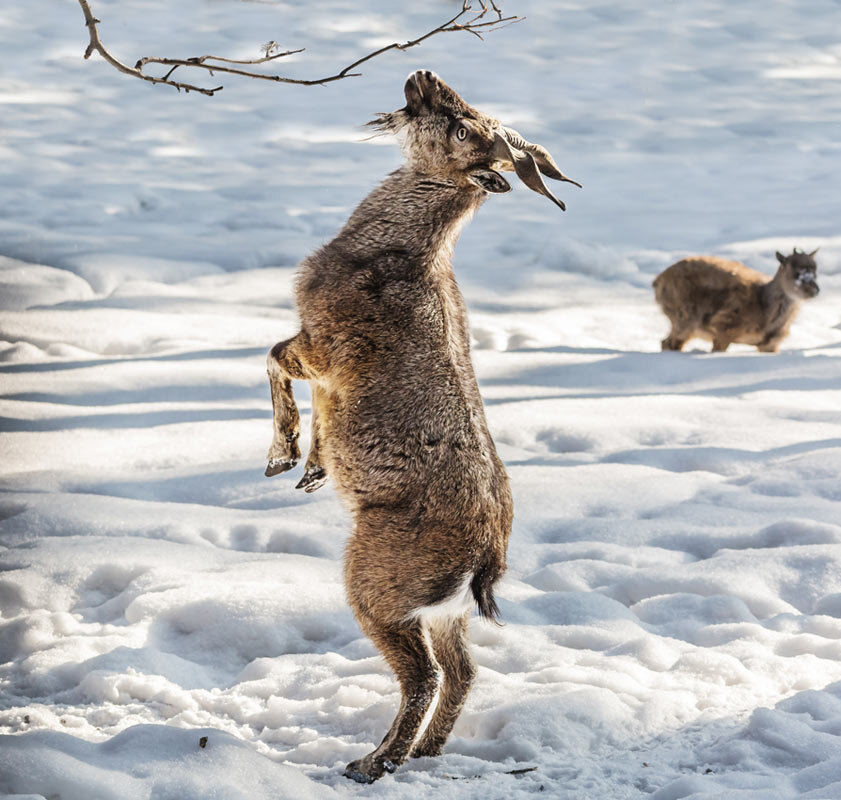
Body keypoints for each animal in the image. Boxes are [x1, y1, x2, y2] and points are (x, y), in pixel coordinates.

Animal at [262, 69, 576, 780]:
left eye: (461, 127)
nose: (425, 76)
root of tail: (484, 562)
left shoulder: (323, 342)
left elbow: (273, 357)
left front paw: (281, 457)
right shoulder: (325, 363)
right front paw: (312, 470)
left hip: (378, 578)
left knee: (424, 673)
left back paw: (371, 761)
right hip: (440, 608)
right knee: (463, 670)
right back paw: (422, 753)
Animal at [652, 247, 816, 354]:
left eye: (815, 271)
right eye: (796, 273)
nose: (815, 289)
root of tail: (657, 281)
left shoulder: (772, 344)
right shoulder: (724, 326)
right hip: (684, 316)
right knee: (668, 343)